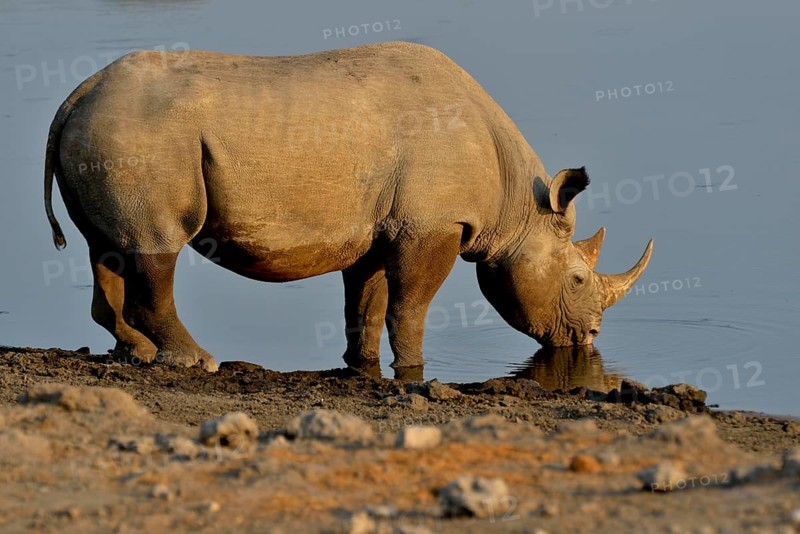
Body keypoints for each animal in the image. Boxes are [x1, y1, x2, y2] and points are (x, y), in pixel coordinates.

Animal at [43, 41, 652, 373]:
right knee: (156, 246)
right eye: (577, 278)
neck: (516, 208)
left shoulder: (381, 229)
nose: (589, 338)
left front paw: (362, 366)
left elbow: (366, 305)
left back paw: (137, 352)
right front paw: (414, 369)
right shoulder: (431, 226)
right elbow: (410, 307)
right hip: (140, 138)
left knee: (106, 248)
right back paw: (196, 360)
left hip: (108, 132)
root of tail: (75, 96)